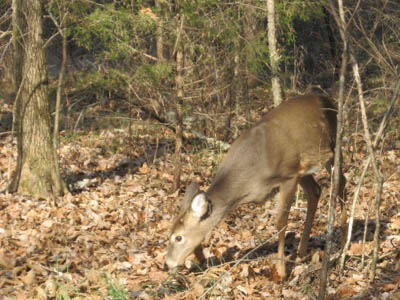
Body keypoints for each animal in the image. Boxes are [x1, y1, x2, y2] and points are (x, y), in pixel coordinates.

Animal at [164, 94, 346, 278]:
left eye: (178, 237)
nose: (166, 264)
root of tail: (328, 100)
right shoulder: (293, 174)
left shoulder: (288, 175)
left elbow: (281, 223)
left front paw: (281, 271)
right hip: (304, 168)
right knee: (315, 191)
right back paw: (302, 252)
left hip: (331, 149)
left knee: (341, 182)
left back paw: (344, 242)